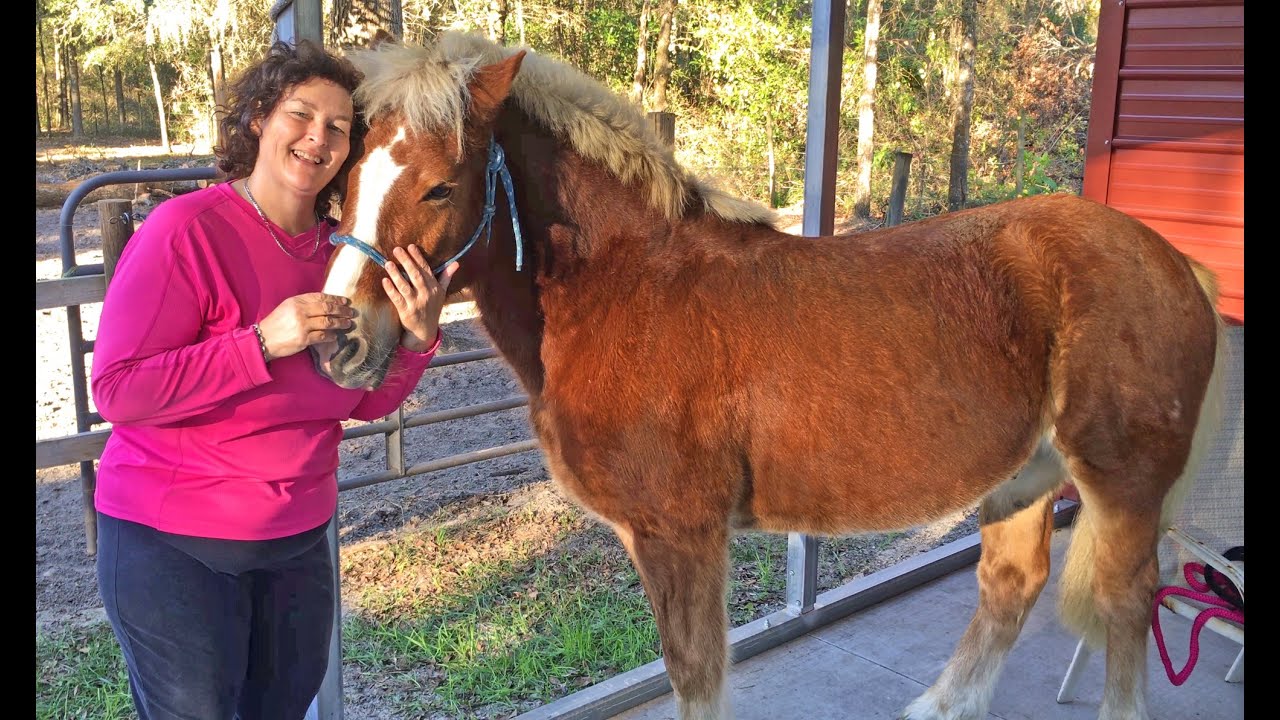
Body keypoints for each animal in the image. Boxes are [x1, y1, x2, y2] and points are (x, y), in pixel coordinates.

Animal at [316, 32, 1226, 720]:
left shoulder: (681, 534)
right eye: (345, 182)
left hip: (1122, 482)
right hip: (1024, 473)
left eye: (441, 187)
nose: (341, 342)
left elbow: (695, 674)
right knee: (1011, 583)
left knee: (1126, 604)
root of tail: (1172, 262)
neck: (627, 287)